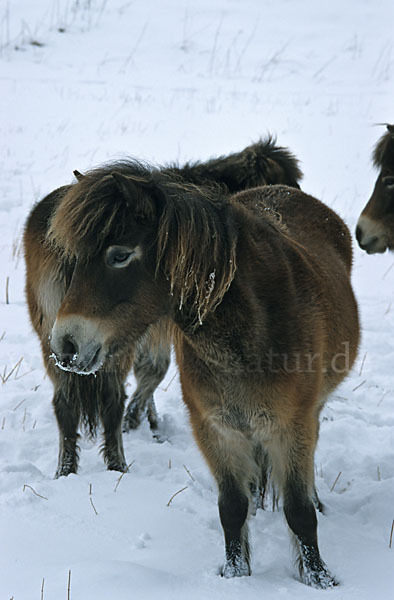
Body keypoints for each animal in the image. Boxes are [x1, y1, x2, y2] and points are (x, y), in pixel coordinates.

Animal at [24, 136, 302, 478]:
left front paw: (147, 419)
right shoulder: (155, 328)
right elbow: (154, 371)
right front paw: (139, 419)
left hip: (54, 337)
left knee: (64, 401)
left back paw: (66, 470)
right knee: (111, 399)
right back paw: (117, 464)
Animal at [35, 159, 358, 584]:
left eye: (119, 255)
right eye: (73, 260)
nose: (65, 344)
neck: (252, 332)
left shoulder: (292, 428)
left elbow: (299, 512)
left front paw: (319, 579)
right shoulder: (214, 429)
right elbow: (232, 507)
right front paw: (235, 575)